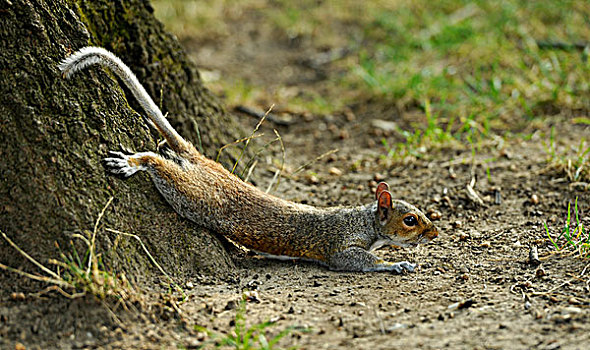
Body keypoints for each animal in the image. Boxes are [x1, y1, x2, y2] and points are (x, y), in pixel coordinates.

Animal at [60, 47, 440, 274]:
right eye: (410, 220)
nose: (435, 233)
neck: (365, 221)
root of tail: (205, 163)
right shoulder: (340, 247)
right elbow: (357, 260)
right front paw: (395, 265)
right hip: (193, 196)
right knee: (160, 166)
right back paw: (135, 161)